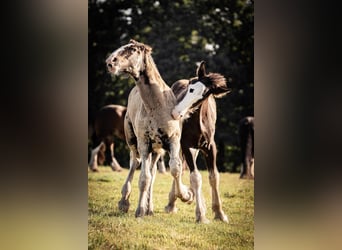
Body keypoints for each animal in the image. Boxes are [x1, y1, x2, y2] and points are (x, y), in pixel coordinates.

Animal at [106, 39, 198, 219]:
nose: (110, 62)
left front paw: (186, 195)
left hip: (156, 150)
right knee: (135, 163)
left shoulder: (173, 140)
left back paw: (150, 208)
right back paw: (125, 202)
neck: (157, 105)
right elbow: (144, 178)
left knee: (153, 170)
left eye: (133, 49)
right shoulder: (143, 142)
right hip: (134, 142)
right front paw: (139, 210)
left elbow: (175, 168)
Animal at [167, 61, 231, 223]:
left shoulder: (210, 148)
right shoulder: (186, 146)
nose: (177, 113)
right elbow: (195, 177)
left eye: (204, 95)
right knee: (178, 168)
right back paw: (174, 201)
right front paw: (200, 215)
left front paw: (219, 213)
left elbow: (214, 177)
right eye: (190, 88)